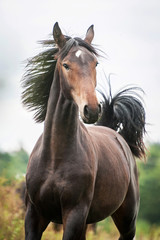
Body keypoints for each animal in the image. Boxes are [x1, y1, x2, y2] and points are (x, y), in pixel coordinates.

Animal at [21, 22, 146, 240]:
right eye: (66, 65)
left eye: (95, 63)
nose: (92, 109)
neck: (55, 158)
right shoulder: (34, 214)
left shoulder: (74, 213)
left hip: (127, 219)